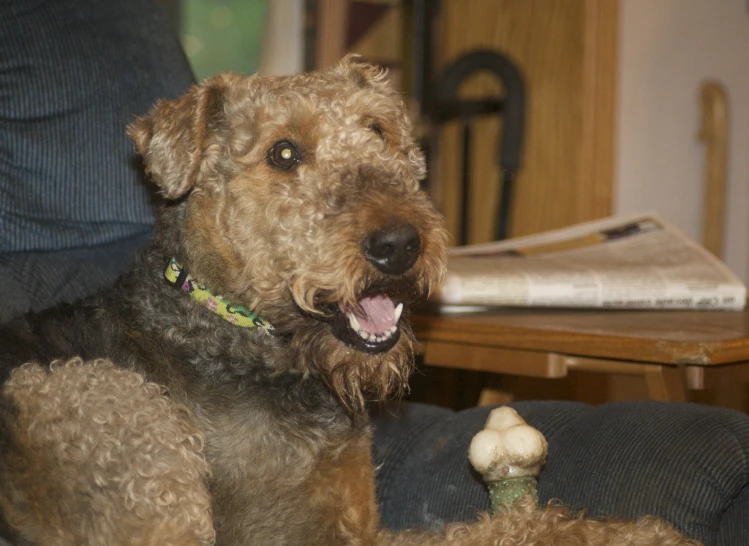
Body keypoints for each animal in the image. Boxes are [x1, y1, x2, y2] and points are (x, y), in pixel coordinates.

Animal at [0, 57, 696, 540]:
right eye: (284, 152)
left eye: (378, 131)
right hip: (108, 405)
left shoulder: (354, 519)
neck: (231, 325)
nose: (401, 245)